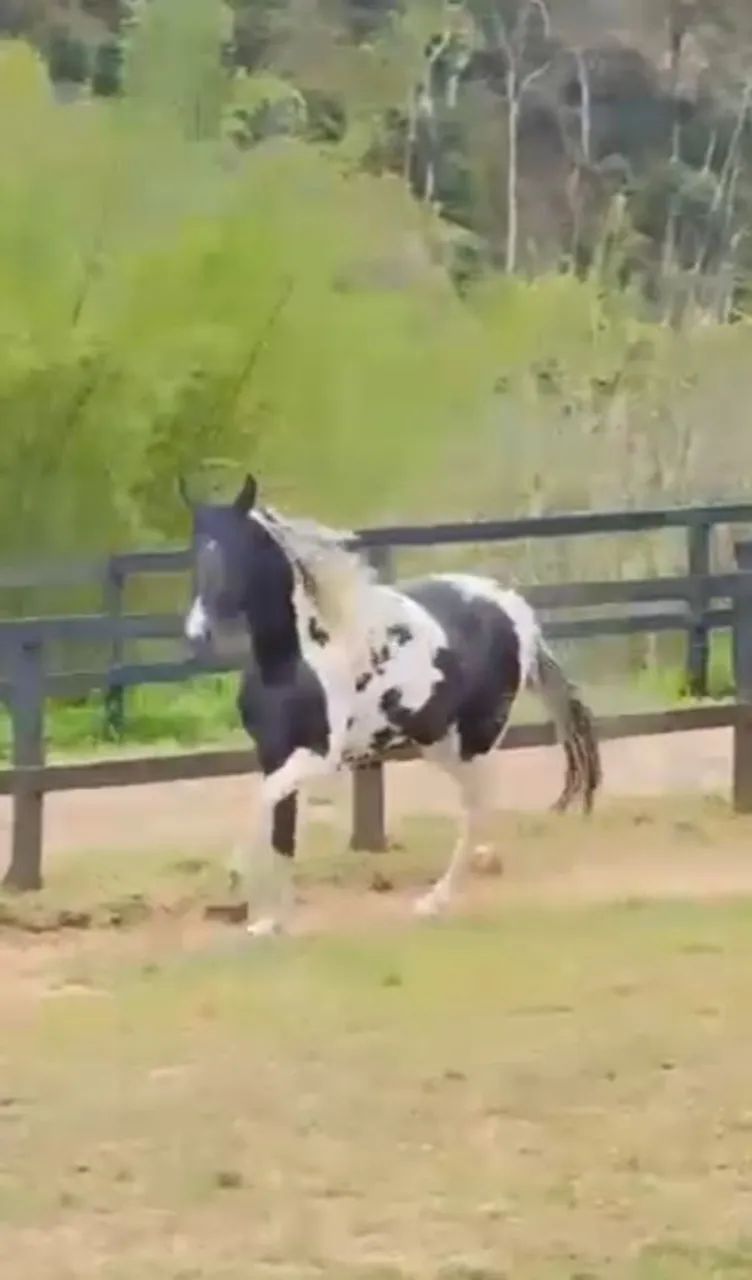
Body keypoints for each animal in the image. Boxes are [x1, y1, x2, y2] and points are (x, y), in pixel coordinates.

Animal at [183, 473, 602, 936]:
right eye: (196, 552)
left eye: (236, 550)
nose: (196, 633)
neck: (296, 661)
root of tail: (513, 608)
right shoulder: (273, 751)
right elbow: (281, 830)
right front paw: (271, 922)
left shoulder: (319, 756)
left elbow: (263, 802)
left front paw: (238, 876)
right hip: (440, 743)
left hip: (474, 742)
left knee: (476, 811)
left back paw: (437, 900)